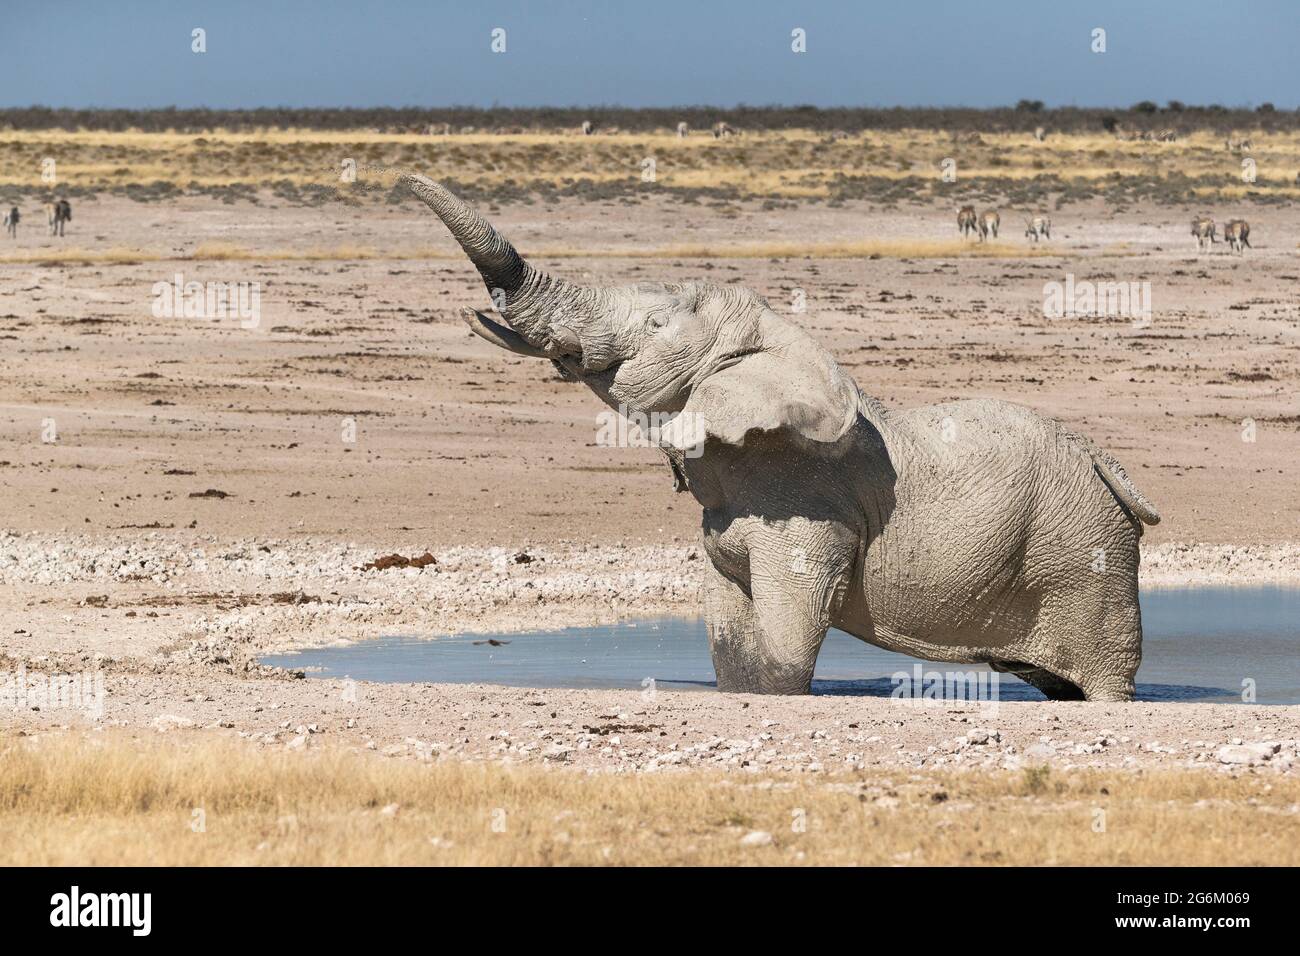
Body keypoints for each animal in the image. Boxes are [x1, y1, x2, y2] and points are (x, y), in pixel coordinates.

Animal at [403, 171, 1159, 697]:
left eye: (655, 326)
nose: (400, 178)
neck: (773, 341)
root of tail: (1107, 464)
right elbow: (733, 646)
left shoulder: (811, 512)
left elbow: (784, 648)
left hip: (1085, 551)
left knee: (1101, 679)